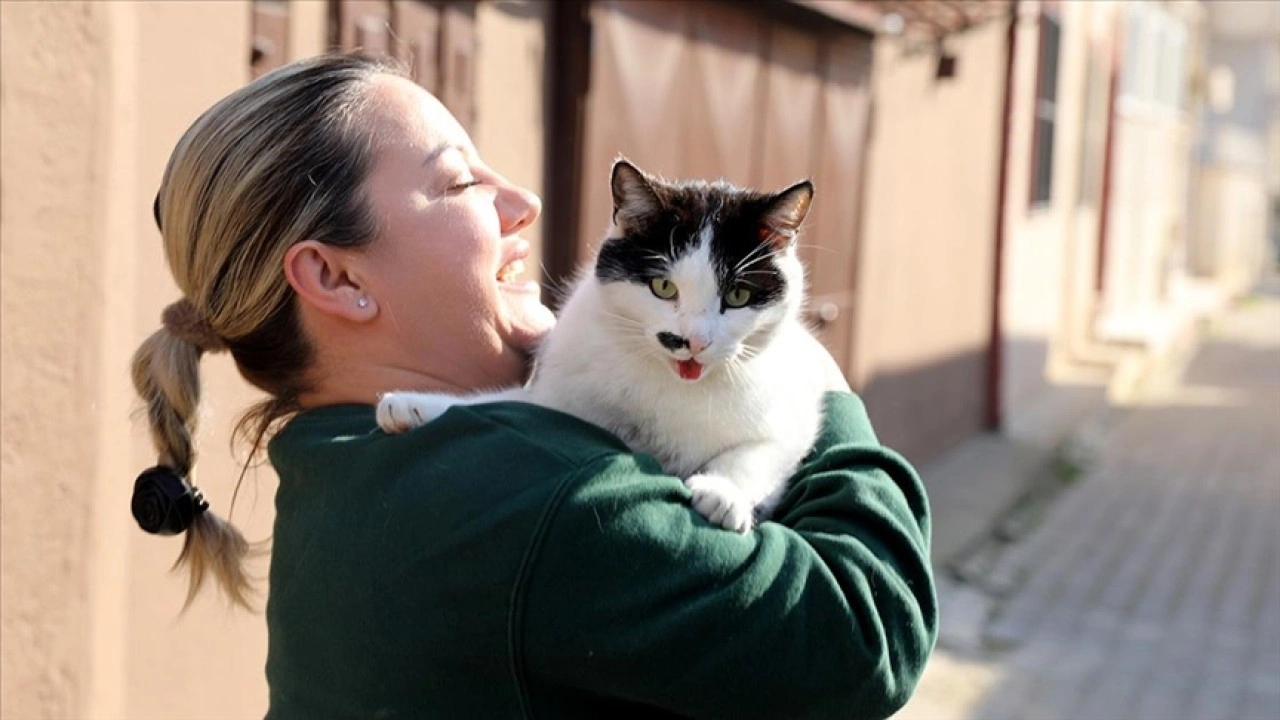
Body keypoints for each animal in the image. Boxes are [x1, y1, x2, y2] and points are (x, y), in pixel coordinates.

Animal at [376, 159, 839, 530]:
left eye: (739, 295)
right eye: (663, 287)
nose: (692, 341)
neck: (671, 387)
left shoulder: (794, 416)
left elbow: (760, 452)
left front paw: (723, 491)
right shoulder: (556, 400)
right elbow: (499, 402)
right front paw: (411, 404)